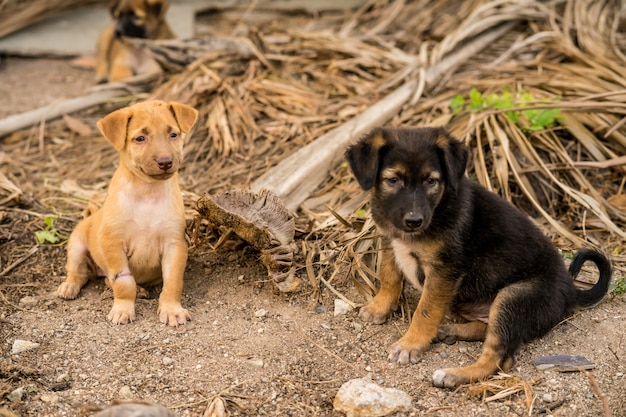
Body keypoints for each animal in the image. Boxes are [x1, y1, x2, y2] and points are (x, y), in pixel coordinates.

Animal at [58, 100, 197, 324]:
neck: (148, 193)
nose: (166, 162)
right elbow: (123, 282)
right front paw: (123, 309)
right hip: (77, 246)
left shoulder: (174, 244)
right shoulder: (114, 243)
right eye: (140, 138)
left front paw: (172, 309)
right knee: (79, 272)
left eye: (173, 134)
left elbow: (173, 282)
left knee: (107, 279)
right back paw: (69, 286)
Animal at [342, 126, 608, 386]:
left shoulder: (444, 268)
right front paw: (379, 307)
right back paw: (449, 331)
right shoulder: (390, 241)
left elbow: (425, 310)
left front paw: (410, 344)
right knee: (488, 330)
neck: (439, 208)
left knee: (500, 358)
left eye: (431, 181)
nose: (414, 220)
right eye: (393, 180)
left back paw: (452, 375)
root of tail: (570, 291)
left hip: (513, 297)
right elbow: (389, 276)